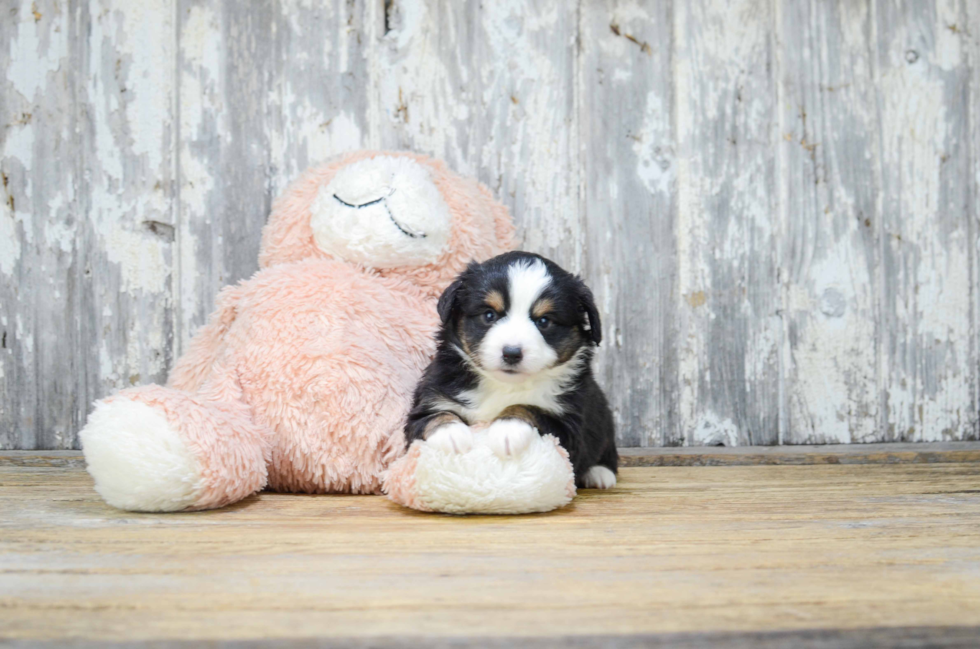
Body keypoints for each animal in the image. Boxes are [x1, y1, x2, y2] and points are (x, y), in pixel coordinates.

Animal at [402, 251, 616, 488]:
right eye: (489, 315)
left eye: (544, 321)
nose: (512, 353)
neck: (503, 385)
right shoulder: (429, 401)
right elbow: (435, 416)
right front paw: (452, 435)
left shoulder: (569, 428)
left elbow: (527, 407)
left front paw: (507, 430)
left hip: (604, 419)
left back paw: (600, 473)